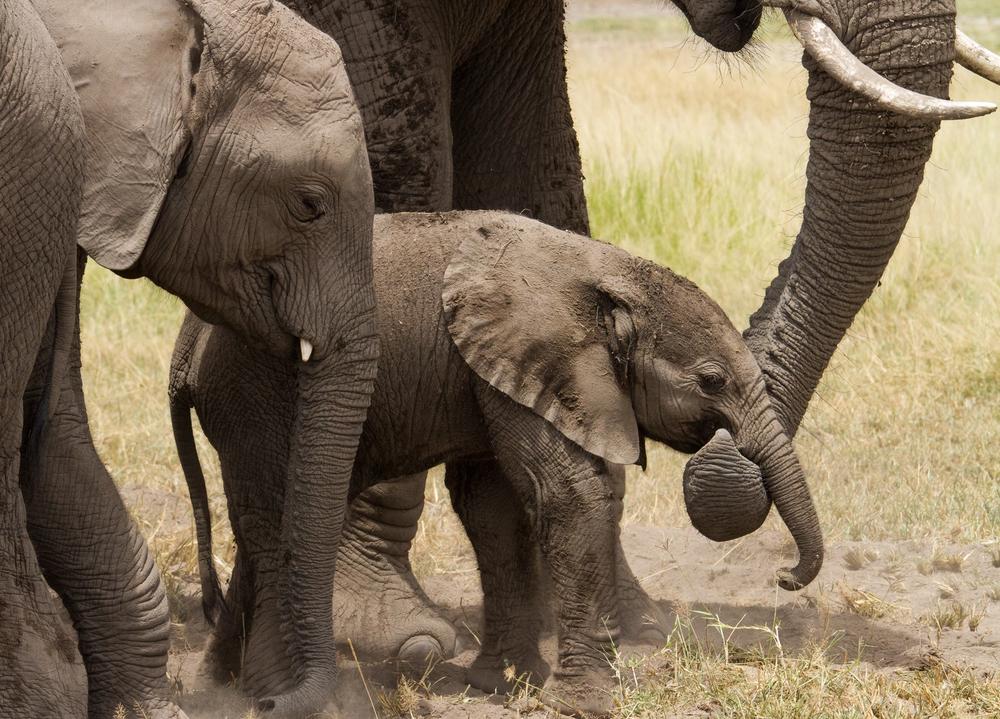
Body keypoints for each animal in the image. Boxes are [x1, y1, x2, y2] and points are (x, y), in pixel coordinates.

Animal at [169, 210, 823, 717]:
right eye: (711, 380)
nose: (785, 576)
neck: (605, 271)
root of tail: (185, 346)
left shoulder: (495, 369)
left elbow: (496, 506)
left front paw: (506, 683)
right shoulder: (534, 359)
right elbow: (569, 492)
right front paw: (581, 705)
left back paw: (221, 688)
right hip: (254, 391)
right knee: (273, 517)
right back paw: (272, 695)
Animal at [260, 0, 1000, 667]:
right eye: (708, 380)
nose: (785, 577)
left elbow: (533, 180)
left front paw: (631, 626)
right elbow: (385, 170)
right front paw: (396, 637)